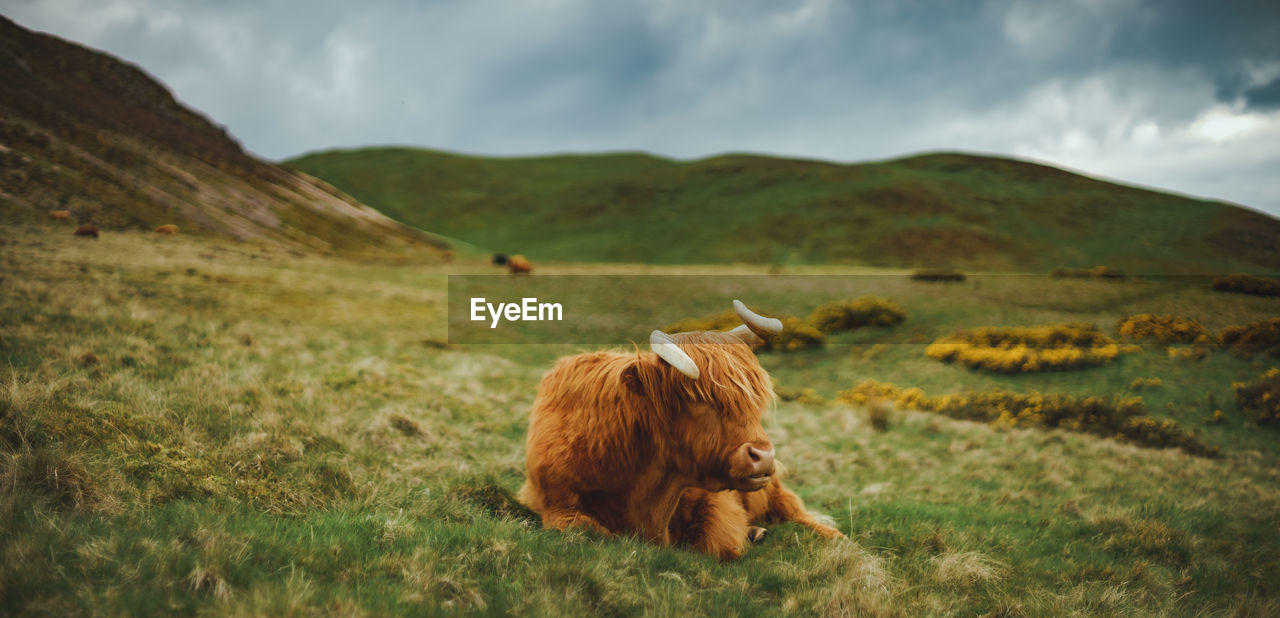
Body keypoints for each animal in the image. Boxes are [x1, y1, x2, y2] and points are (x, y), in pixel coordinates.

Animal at [517, 299, 839, 560]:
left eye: (754, 398)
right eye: (698, 398)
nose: (763, 456)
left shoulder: (717, 499)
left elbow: (719, 544)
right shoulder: (555, 504)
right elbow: (588, 530)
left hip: (774, 489)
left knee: (795, 510)